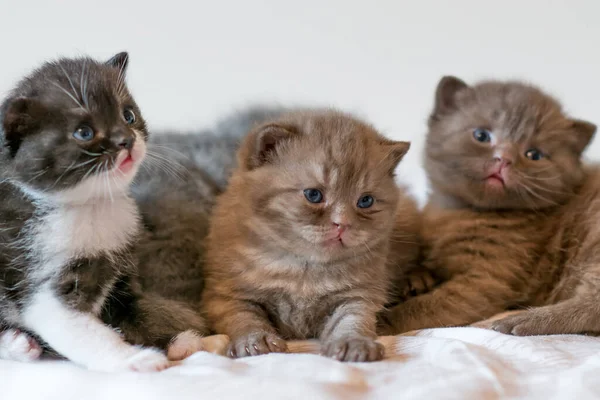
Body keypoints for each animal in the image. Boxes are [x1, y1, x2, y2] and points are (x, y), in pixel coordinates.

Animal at [200, 110, 418, 362]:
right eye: (313, 195)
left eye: (365, 201)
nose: (342, 224)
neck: (303, 271)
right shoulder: (225, 294)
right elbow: (244, 317)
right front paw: (256, 340)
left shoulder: (358, 294)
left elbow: (352, 320)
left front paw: (353, 343)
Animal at [382, 76, 596, 334]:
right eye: (482, 135)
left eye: (534, 154)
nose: (504, 159)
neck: (459, 213)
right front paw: (415, 278)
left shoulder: (485, 280)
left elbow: (425, 307)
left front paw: (382, 321)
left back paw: (519, 321)